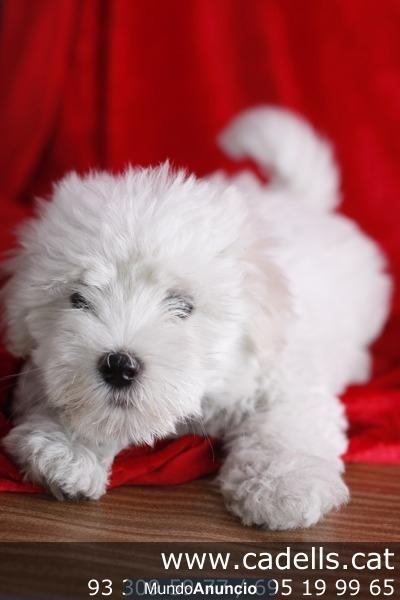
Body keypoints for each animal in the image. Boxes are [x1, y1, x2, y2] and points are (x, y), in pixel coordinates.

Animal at [0, 109, 390, 528]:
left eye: (183, 305)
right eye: (78, 299)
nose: (119, 365)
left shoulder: (281, 375)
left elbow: (286, 426)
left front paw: (283, 486)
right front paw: (66, 451)